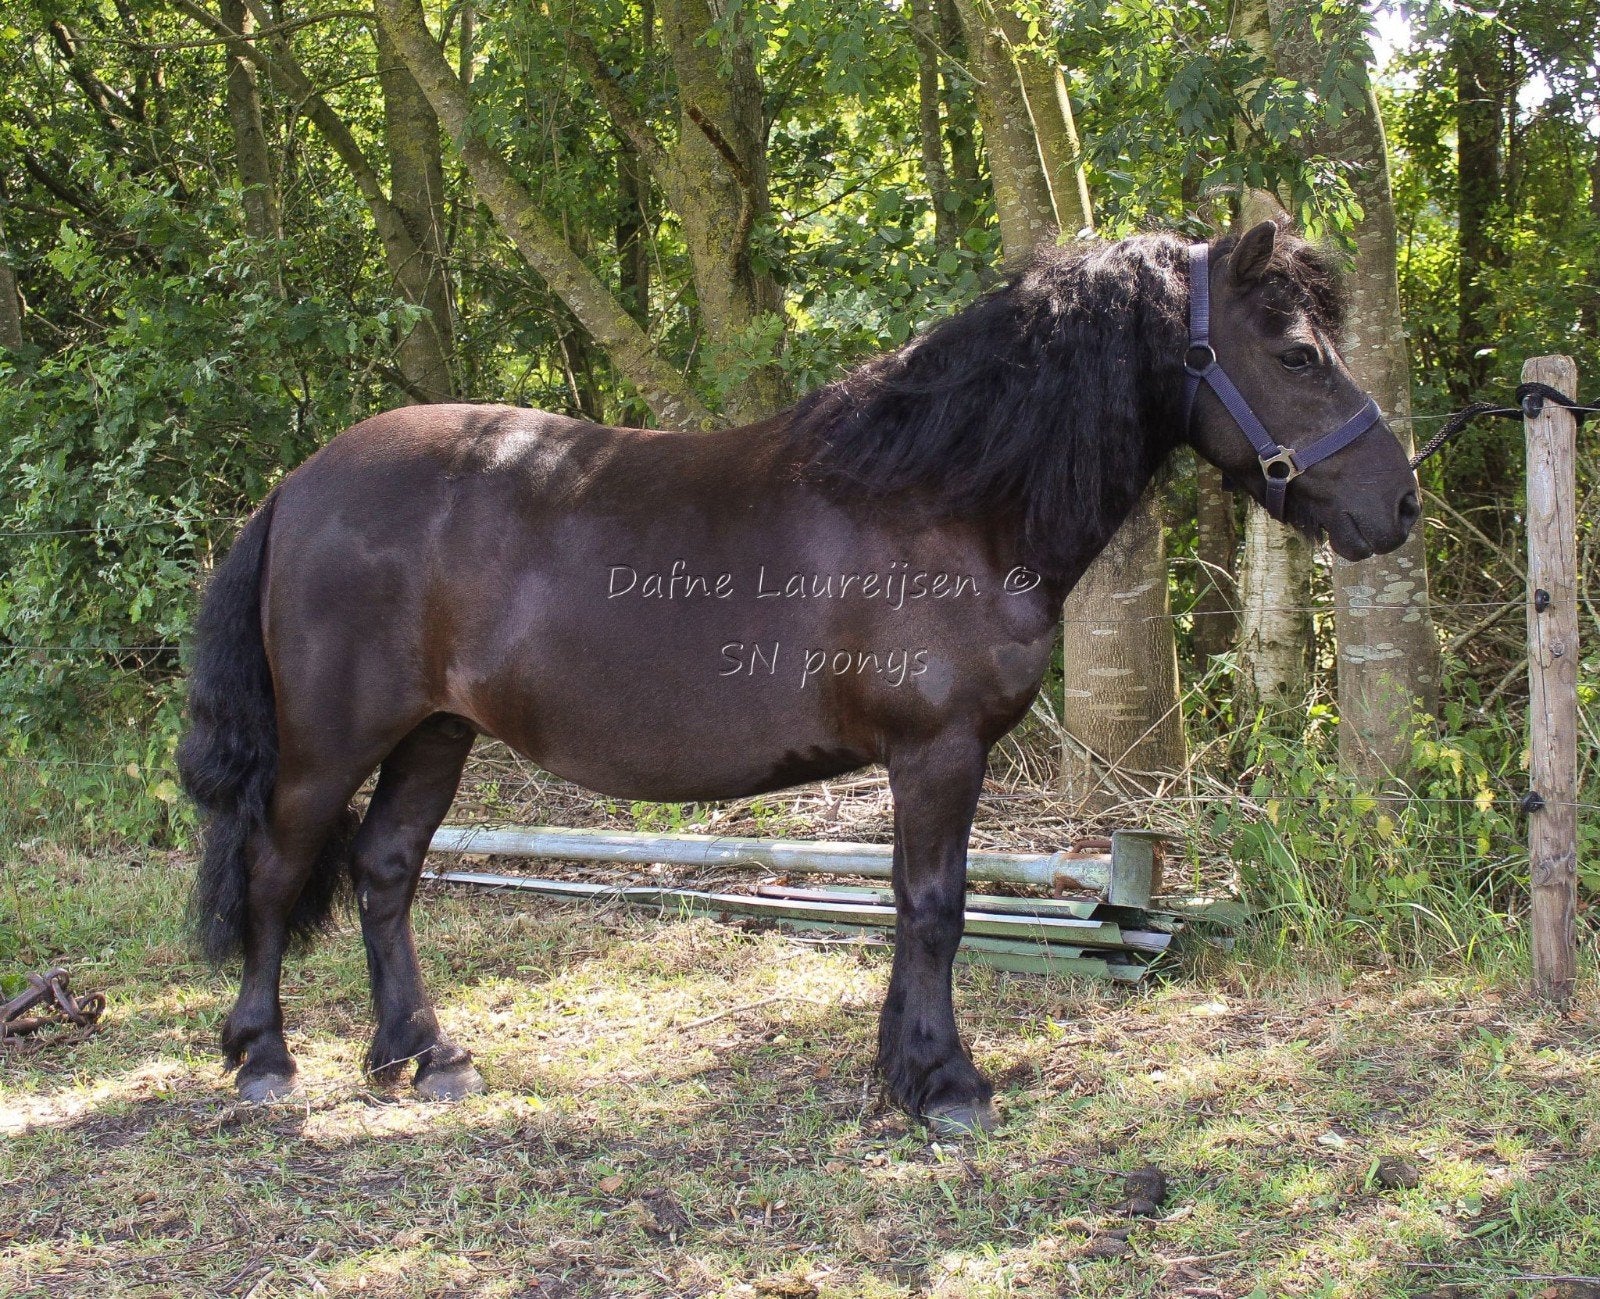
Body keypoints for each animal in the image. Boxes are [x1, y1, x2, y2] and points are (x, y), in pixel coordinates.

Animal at [177, 220, 1419, 1133]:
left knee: (385, 871)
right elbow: (934, 908)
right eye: (1297, 355)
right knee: (279, 870)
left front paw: (902, 1071)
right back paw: (265, 1059)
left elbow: (912, 907)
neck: (944, 498)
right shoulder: (937, 752)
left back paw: (422, 1055)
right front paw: (945, 1085)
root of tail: (299, 486)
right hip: (330, 742)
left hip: (435, 733)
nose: (1397, 503)